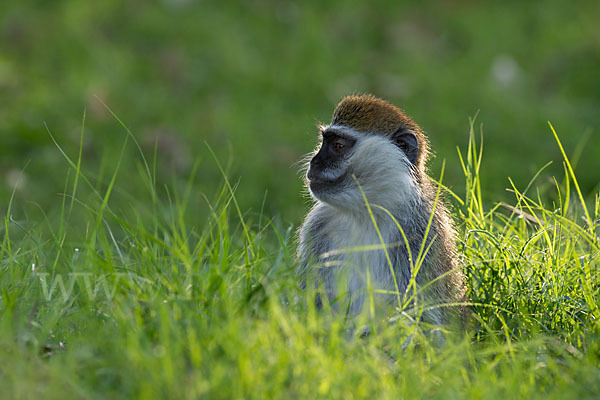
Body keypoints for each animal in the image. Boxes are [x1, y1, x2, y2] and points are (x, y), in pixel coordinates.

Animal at [298, 93, 466, 328]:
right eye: (324, 142)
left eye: (338, 146)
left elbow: (421, 317)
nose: (314, 162)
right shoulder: (318, 224)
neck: (366, 213)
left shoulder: (421, 234)